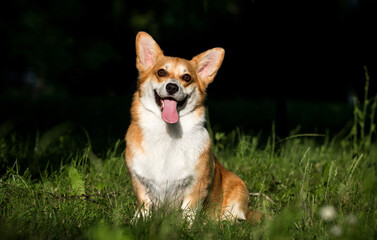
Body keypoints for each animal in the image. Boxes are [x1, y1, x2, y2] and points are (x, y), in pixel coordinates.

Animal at [125, 31, 251, 221]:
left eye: (186, 78)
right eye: (161, 72)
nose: (172, 87)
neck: (167, 132)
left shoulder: (196, 186)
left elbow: (188, 212)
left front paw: (185, 225)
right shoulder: (140, 182)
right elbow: (144, 206)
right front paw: (138, 221)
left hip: (238, 190)